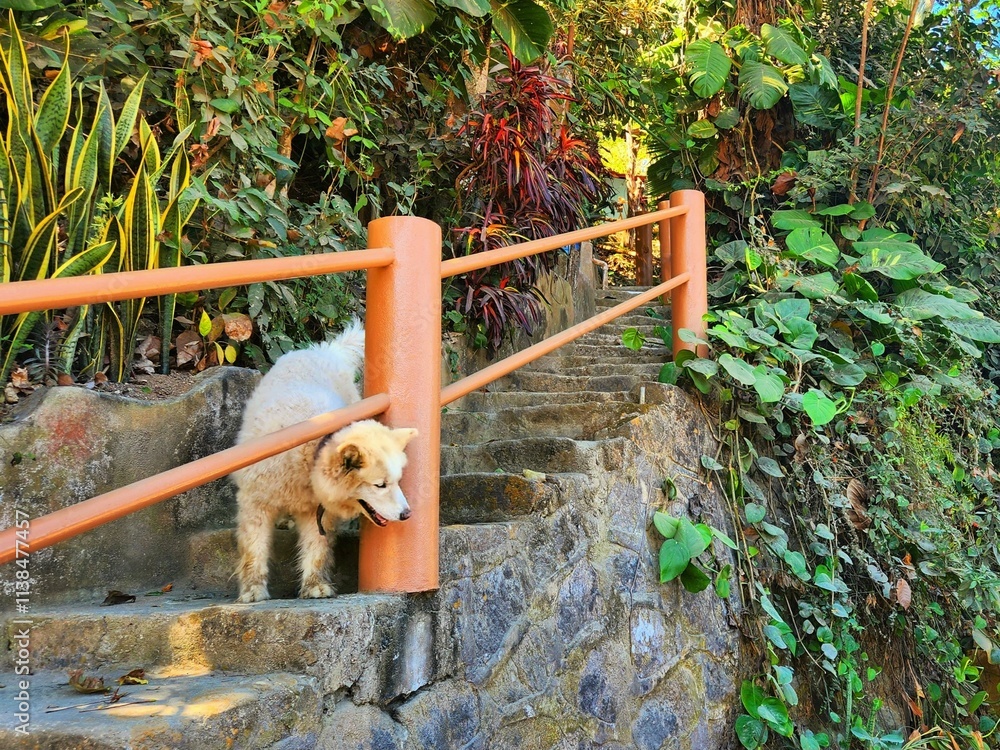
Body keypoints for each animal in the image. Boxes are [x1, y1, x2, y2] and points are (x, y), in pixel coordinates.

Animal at [232, 322, 416, 604]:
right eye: (380, 485)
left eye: (397, 481)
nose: (407, 514)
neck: (308, 455)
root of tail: (324, 350)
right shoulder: (254, 503)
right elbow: (254, 548)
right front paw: (252, 590)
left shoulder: (317, 512)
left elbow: (316, 547)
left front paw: (315, 585)